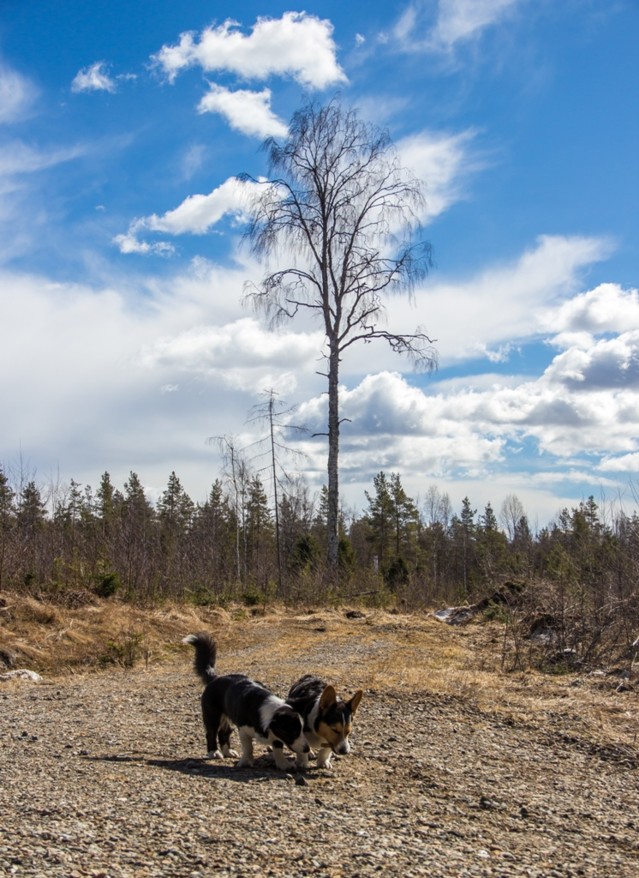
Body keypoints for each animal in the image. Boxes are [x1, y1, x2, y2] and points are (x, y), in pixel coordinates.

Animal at [182, 640, 310, 768]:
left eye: (302, 729)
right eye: (293, 731)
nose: (307, 749)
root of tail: (215, 678)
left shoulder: (276, 734)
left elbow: (278, 748)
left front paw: (283, 764)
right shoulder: (243, 729)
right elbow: (248, 748)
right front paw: (245, 762)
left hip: (228, 718)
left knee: (224, 733)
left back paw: (228, 752)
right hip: (213, 716)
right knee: (211, 733)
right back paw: (214, 752)